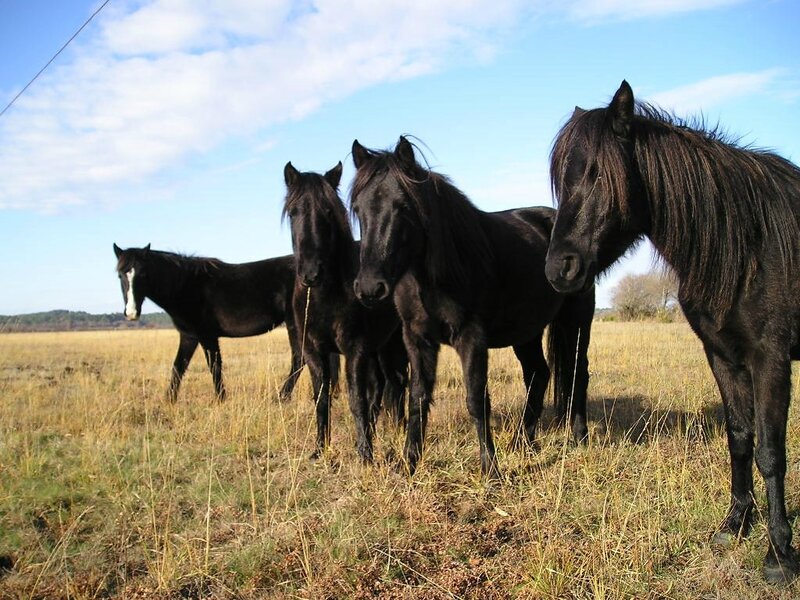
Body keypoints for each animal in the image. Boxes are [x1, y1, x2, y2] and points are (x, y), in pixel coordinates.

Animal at [282, 162, 406, 462]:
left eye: (328, 212)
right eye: (293, 212)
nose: (311, 273)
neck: (325, 297)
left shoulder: (355, 349)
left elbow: (356, 398)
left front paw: (365, 453)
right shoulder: (313, 351)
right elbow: (321, 398)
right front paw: (319, 448)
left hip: (391, 345)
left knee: (396, 384)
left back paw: (398, 430)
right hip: (377, 350)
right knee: (381, 387)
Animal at [548, 79, 800, 580]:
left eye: (600, 174)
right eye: (562, 179)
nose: (557, 269)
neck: (747, 245)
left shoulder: (771, 360)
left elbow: (770, 452)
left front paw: (780, 554)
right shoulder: (722, 357)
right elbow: (740, 439)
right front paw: (734, 526)